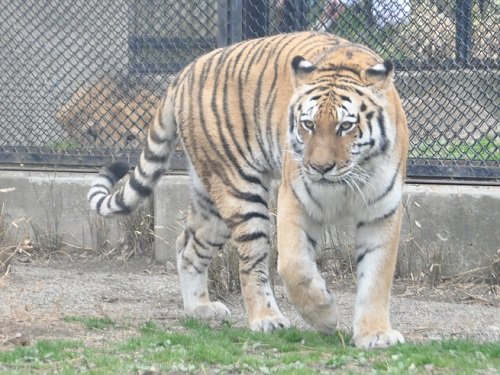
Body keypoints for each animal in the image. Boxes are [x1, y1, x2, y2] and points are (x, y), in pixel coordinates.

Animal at [89, 32, 410, 350]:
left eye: (345, 126)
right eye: (308, 124)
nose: (319, 167)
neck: (346, 181)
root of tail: (185, 72)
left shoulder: (381, 213)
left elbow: (376, 278)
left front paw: (375, 334)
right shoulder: (295, 200)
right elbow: (294, 266)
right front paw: (325, 315)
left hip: (212, 203)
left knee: (187, 246)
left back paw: (201, 309)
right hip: (239, 190)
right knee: (251, 264)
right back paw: (267, 319)